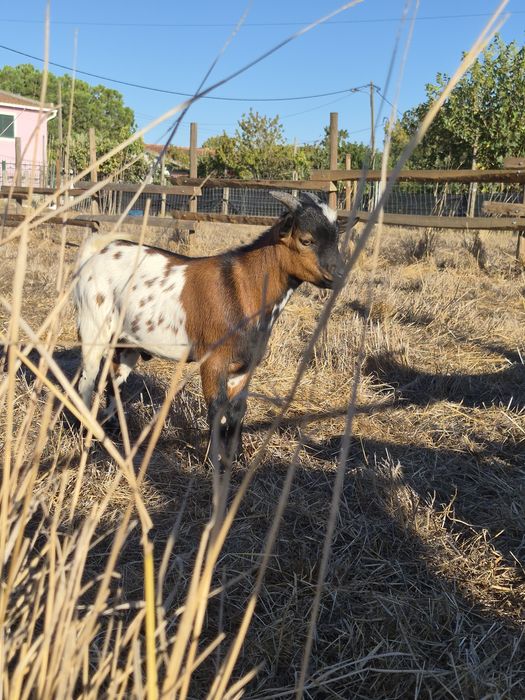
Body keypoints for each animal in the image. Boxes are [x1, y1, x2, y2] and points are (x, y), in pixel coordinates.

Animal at [74, 191, 344, 463]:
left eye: (337, 238)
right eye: (306, 240)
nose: (340, 275)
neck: (242, 287)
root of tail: (96, 253)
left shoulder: (243, 365)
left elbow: (237, 409)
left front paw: (235, 457)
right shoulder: (213, 359)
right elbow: (216, 408)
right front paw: (212, 461)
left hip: (126, 344)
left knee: (113, 383)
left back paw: (112, 432)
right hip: (93, 327)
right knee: (85, 382)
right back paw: (85, 433)